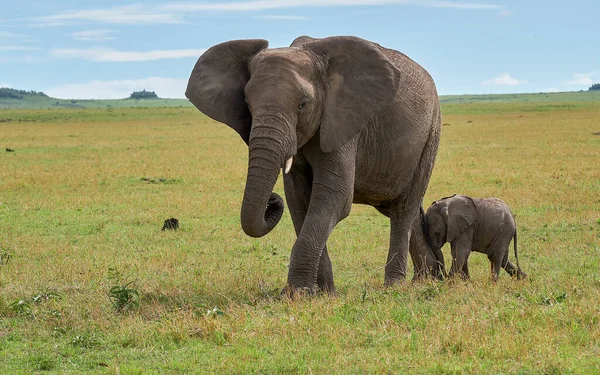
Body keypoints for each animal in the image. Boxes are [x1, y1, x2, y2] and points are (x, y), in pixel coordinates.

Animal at [185, 35, 442, 294]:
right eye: (247, 103)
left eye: (303, 105)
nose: (271, 199)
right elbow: (298, 200)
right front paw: (322, 292)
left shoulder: (343, 120)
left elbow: (334, 198)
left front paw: (297, 293)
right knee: (403, 208)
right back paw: (427, 279)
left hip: (430, 134)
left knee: (403, 209)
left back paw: (395, 285)